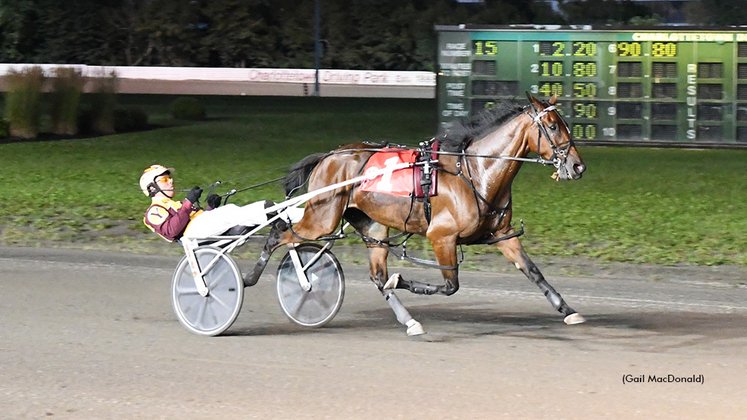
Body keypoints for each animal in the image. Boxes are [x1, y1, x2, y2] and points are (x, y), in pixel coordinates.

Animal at [258, 93, 592, 336]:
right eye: (552, 126)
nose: (578, 166)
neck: (475, 171)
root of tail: (328, 155)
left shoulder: (502, 235)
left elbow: (533, 271)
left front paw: (567, 310)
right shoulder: (441, 237)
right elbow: (450, 286)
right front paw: (401, 279)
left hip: (373, 226)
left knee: (376, 275)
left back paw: (409, 321)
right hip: (321, 217)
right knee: (279, 233)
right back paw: (262, 280)